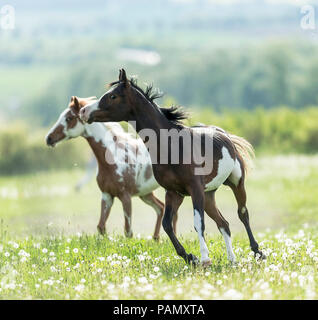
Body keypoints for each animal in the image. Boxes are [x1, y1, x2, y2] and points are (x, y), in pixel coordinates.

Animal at [45, 96, 178, 239]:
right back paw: (155, 238)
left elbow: (128, 231)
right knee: (161, 208)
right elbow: (101, 227)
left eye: (69, 118)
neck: (114, 157)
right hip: (145, 193)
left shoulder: (126, 197)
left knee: (173, 214)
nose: (49, 138)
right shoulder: (107, 196)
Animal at [79, 70, 264, 268]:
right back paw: (232, 259)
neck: (172, 146)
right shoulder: (174, 192)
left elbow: (198, 222)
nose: (83, 111)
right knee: (224, 223)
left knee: (242, 214)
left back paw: (257, 252)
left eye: (113, 96)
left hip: (236, 183)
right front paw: (191, 257)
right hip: (208, 195)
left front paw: (205, 259)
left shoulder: (194, 188)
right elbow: (167, 224)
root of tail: (225, 135)